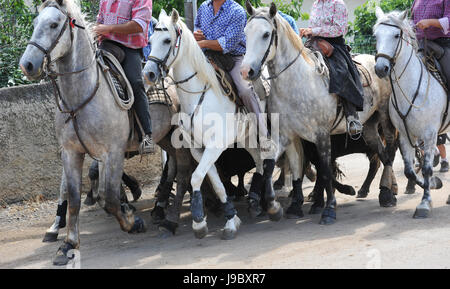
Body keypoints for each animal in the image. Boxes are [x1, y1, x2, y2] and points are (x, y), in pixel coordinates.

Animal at [143, 9, 282, 238]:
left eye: (167, 40)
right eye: (150, 40)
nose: (149, 73)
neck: (199, 95)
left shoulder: (215, 145)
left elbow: (196, 177)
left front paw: (199, 221)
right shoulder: (198, 148)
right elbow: (215, 182)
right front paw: (231, 218)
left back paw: (273, 203)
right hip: (245, 136)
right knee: (259, 159)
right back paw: (255, 201)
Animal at [243, 1, 398, 223]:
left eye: (266, 34)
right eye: (246, 32)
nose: (246, 71)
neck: (297, 83)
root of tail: (380, 63)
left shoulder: (321, 135)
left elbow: (325, 171)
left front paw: (329, 209)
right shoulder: (286, 135)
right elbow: (272, 165)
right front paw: (275, 207)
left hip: (385, 117)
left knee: (390, 152)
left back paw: (388, 193)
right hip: (368, 126)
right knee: (383, 155)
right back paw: (385, 193)